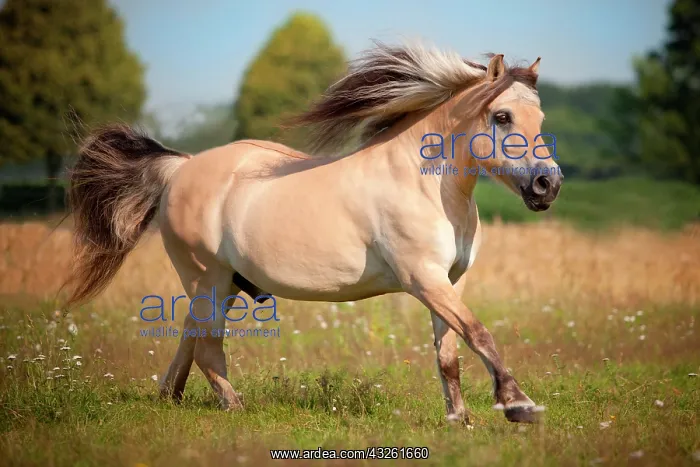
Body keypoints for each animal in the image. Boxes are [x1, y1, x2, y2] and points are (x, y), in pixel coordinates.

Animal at [65, 42, 562, 425]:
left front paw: (459, 420)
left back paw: (170, 397)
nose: (548, 184)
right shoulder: (423, 279)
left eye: (540, 120)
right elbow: (479, 334)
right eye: (502, 117)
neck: (423, 183)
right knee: (208, 348)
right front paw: (519, 406)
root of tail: (180, 168)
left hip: (222, 284)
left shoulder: (448, 282)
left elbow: (448, 354)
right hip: (207, 278)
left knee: (190, 339)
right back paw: (236, 409)